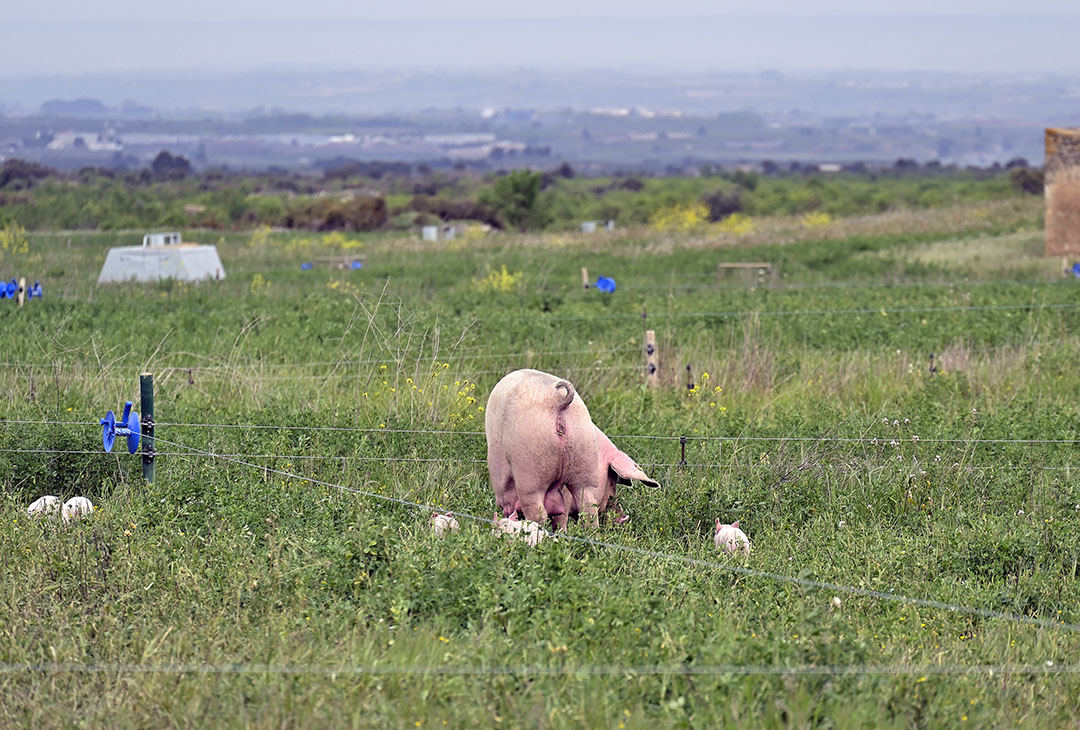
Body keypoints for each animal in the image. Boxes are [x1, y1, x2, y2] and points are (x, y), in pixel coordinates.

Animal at [483, 367, 656, 526]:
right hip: (583, 461)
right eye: (612, 479)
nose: (623, 517)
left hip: (530, 472)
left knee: (538, 512)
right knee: (588, 509)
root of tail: (559, 400)